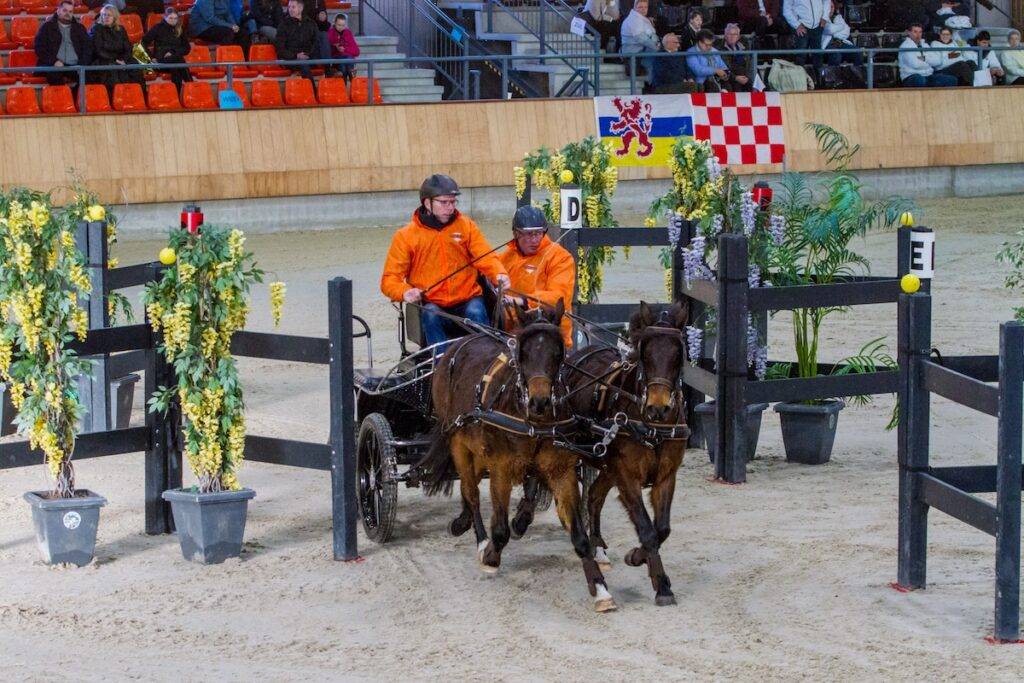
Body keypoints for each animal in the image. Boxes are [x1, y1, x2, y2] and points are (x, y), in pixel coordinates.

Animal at [418, 300, 617, 612]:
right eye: (523, 353)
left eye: (558, 352)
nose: (539, 401)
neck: (530, 419)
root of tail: (458, 345)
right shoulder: (501, 468)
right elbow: (500, 529)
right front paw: (490, 555)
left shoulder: (561, 472)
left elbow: (580, 536)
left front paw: (599, 589)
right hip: (458, 444)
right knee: (471, 492)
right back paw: (479, 540)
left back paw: (462, 521)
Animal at [560, 301, 689, 607]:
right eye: (645, 353)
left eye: (678, 354)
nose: (658, 407)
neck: (652, 427)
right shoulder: (627, 476)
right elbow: (647, 528)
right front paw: (661, 585)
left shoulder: (666, 476)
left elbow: (661, 528)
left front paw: (640, 559)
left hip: (607, 465)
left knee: (594, 496)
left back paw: (598, 547)